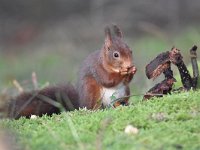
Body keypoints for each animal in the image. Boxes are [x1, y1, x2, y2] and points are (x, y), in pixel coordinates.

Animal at [3, 25, 137, 119]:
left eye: (131, 50)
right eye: (116, 55)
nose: (129, 65)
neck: (108, 63)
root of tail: (80, 104)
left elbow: (125, 81)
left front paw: (132, 71)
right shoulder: (97, 68)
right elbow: (107, 79)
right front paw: (122, 73)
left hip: (125, 92)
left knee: (118, 102)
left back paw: (122, 105)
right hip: (91, 91)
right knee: (93, 107)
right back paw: (97, 109)